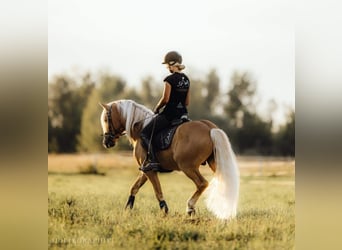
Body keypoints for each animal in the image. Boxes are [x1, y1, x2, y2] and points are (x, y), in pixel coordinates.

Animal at [98, 99, 238, 219]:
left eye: (105, 119)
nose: (106, 142)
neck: (140, 128)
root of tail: (209, 128)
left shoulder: (150, 170)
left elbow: (157, 191)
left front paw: (164, 210)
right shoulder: (145, 169)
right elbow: (134, 187)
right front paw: (128, 208)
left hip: (187, 167)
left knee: (202, 183)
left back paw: (190, 207)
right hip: (214, 163)